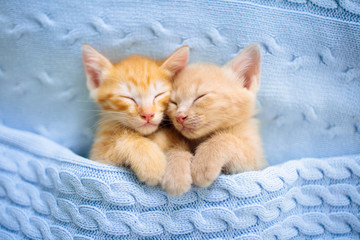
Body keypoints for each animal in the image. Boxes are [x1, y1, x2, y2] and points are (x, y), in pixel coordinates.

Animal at [81, 44, 188, 186]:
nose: (148, 115)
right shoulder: (97, 156)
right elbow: (124, 139)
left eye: (158, 95)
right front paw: (150, 161)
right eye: (128, 98)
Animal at [165, 43, 266, 193]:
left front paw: (203, 163)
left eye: (200, 97)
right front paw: (175, 171)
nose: (179, 116)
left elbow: (224, 138)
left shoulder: (257, 161)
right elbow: (174, 146)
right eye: (173, 102)